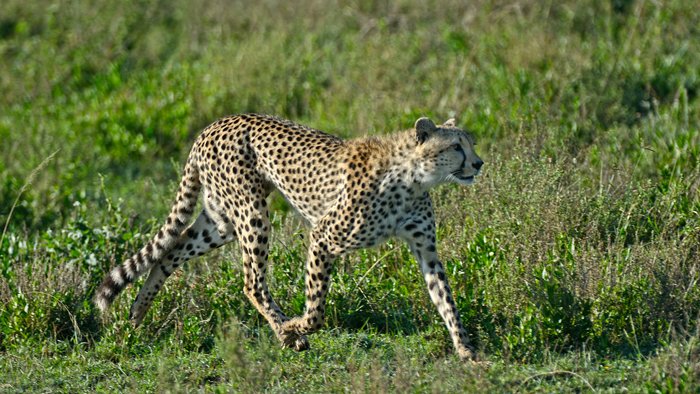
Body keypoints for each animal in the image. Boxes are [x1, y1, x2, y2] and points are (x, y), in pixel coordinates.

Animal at [95, 113, 484, 360]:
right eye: (456, 147)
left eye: (472, 144)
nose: (479, 163)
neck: (414, 176)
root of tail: (213, 124)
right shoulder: (324, 235)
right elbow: (317, 306)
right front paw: (297, 327)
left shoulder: (426, 248)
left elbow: (445, 298)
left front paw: (466, 350)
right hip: (251, 213)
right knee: (251, 282)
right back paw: (285, 332)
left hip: (219, 223)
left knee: (168, 253)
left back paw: (135, 316)